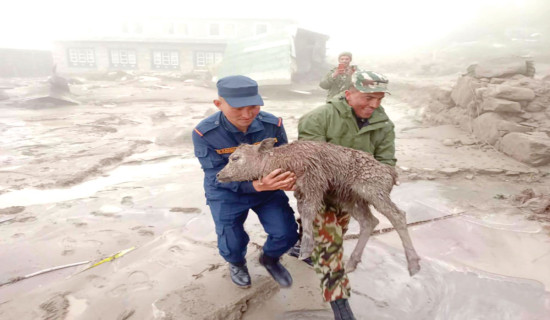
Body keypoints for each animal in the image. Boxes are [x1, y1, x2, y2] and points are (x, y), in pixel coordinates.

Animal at [217, 138, 422, 276]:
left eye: (235, 158)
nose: (219, 175)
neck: (283, 161)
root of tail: (391, 174)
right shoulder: (301, 190)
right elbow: (303, 213)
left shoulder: (313, 182)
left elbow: (308, 213)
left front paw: (306, 250)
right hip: (350, 197)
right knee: (369, 221)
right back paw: (352, 263)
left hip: (374, 191)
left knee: (398, 216)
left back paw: (413, 265)